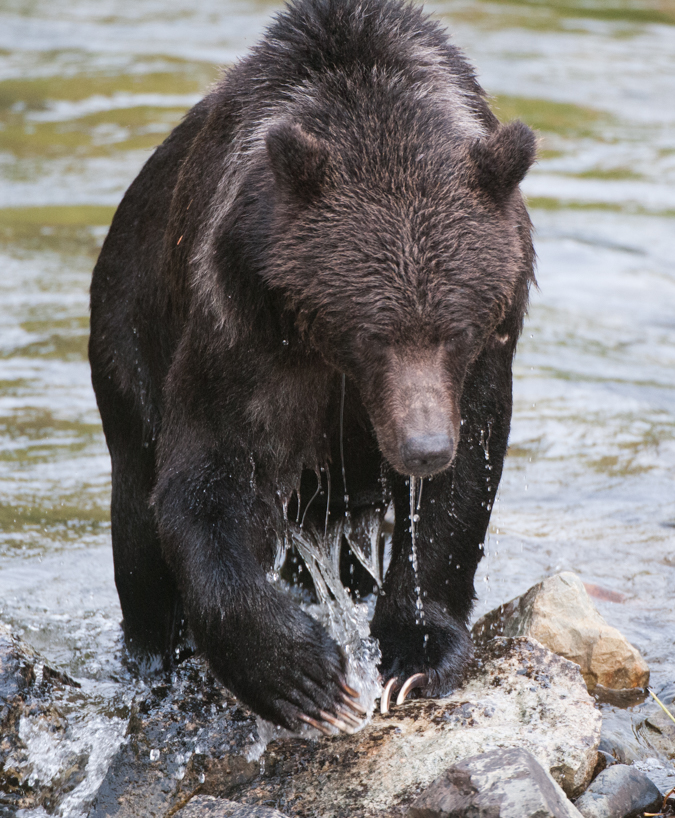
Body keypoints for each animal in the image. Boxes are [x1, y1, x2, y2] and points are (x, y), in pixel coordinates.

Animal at [89, 0, 536, 732]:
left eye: (458, 328)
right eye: (374, 334)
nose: (422, 447)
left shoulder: (481, 361)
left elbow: (460, 489)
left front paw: (413, 655)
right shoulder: (242, 327)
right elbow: (209, 480)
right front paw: (303, 676)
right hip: (127, 340)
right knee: (138, 526)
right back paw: (155, 664)